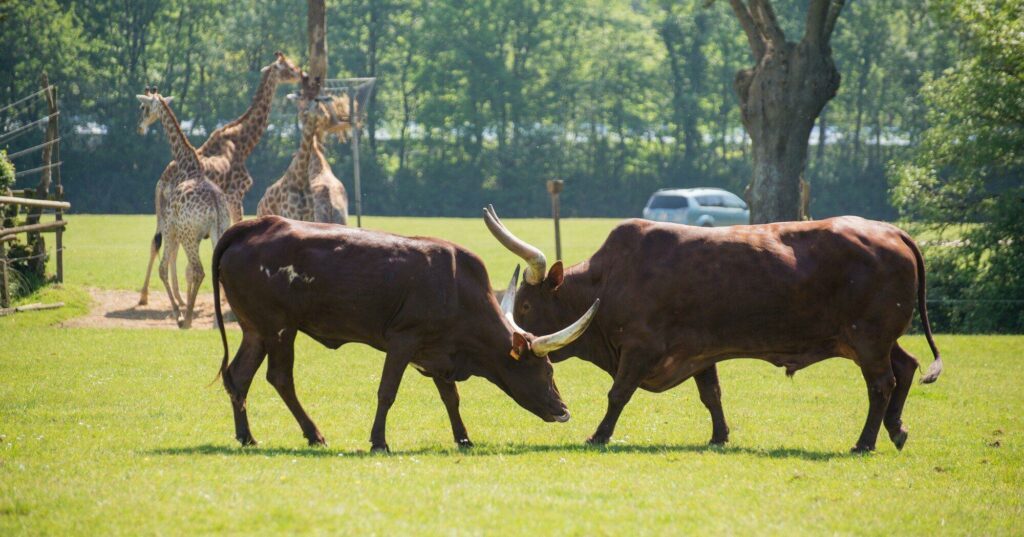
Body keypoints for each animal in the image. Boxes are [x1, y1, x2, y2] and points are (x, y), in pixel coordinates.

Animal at [136, 88, 230, 329]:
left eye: (143, 107)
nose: (139, 126)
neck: (190, 167)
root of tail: (215, 208)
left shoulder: (171, 226)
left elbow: (163, 267)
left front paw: (179, 313)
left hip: (189, 236)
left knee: (198, 270)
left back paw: (186, 318)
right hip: (218, 232)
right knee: (213, 269)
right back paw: (215, 322)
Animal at [139, 54, 303, 305]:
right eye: (288, 67)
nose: (302, 74)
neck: (242, 142)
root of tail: (162, 180)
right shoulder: (236, 196)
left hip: (167, 213)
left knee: (161, 244)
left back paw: (157, 297)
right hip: (171, 215)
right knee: (169, 248)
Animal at [215, 216, 598, 450]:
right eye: (546, 370)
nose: (563, 410)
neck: (456, 287)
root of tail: (253, 225)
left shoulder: (438, 353)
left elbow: (451, 398)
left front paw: (463, 438)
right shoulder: (403, 341)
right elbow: (387, 391)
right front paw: (378, 441)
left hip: (256, 330)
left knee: (239, 376)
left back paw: (246, 436)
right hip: (279, 328)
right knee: (280, 378)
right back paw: (313, 434)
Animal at [483, 207, 937, 452]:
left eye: (526, 304)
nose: (516, 345)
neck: (610, 279)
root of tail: (891, 230)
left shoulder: (640, 347)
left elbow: (618, 394)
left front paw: (598, 435)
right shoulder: (700, 350)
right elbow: (711, 394)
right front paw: (719, 436)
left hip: (869, 339)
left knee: (882, 384)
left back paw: (865, 441)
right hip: (876, 339)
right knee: (907, 367)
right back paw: (896, 430)